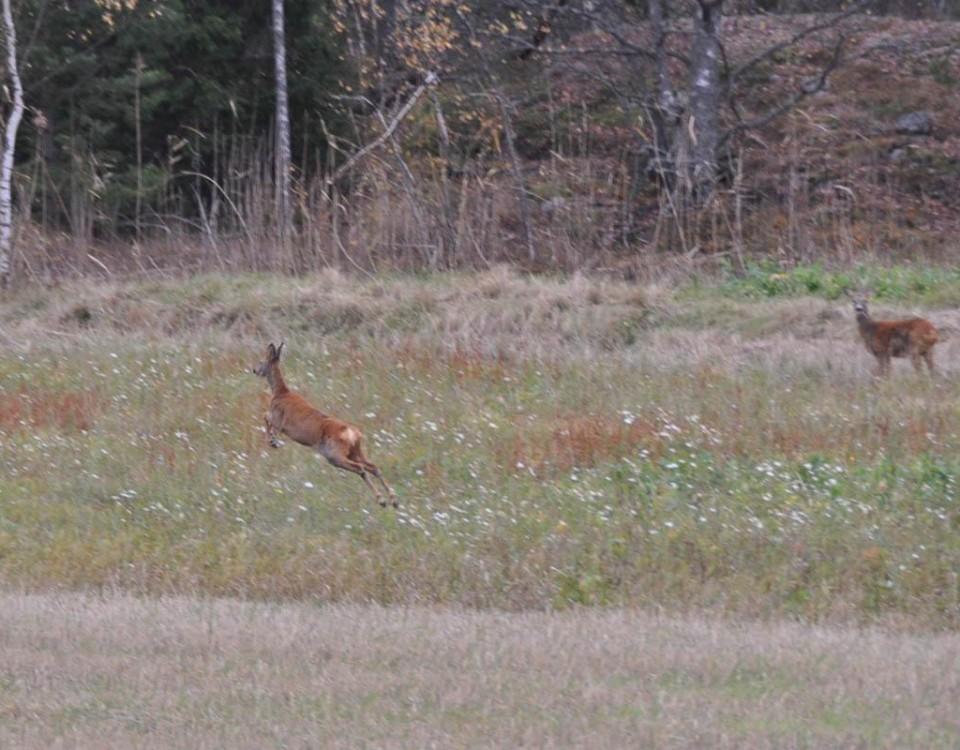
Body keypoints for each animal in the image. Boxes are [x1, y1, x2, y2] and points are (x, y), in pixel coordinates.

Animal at [251, 344, 398, 508]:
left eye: (261, 360)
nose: (254, 370)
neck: (281, 392)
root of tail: (353, 433)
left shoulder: (278, 419)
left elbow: (266, 417)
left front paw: (273, 442)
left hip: (334, 454)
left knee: (361, 469)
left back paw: (382, 500)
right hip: (354, 452)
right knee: (373, 467)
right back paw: (393, 501)